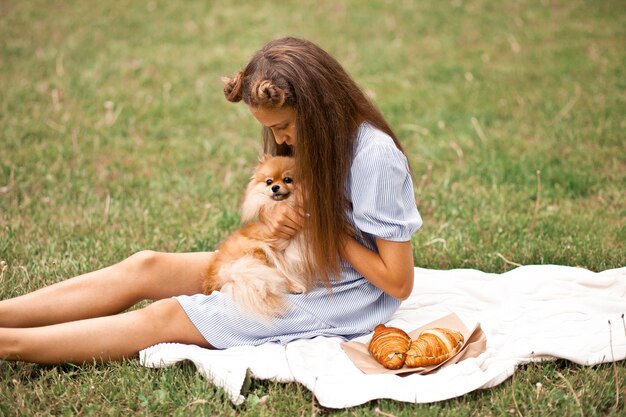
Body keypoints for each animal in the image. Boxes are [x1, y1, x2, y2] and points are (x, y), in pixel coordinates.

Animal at [201, 154, 306, 316]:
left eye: (287, 179)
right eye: (269, 181)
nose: (274, 187)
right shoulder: (273, 252)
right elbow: (282, 272)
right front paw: (294, 285)